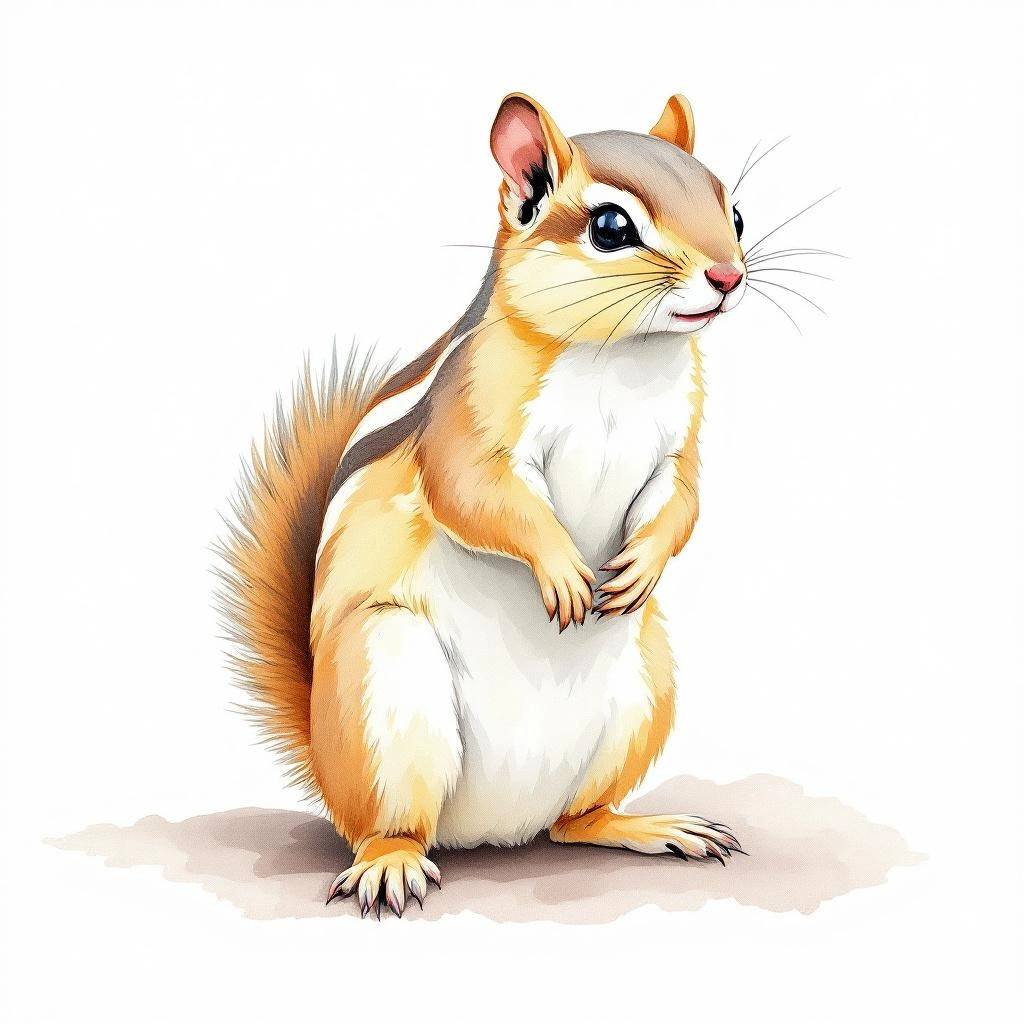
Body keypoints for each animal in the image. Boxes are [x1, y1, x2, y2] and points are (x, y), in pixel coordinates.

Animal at [218, 92, 749, 917]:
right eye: (611, 227)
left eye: (739, 214)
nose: (728, 275)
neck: (621, 359)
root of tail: (495, 833)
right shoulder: (466, 423)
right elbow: (476, 493)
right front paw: (561, 569)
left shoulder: (677, 447)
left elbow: (682, 501)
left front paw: (642, 564)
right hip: (384, 684)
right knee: (393, 826)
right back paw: (391, 863)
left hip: (645, 688)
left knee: (573, 822)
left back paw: (649, 827)